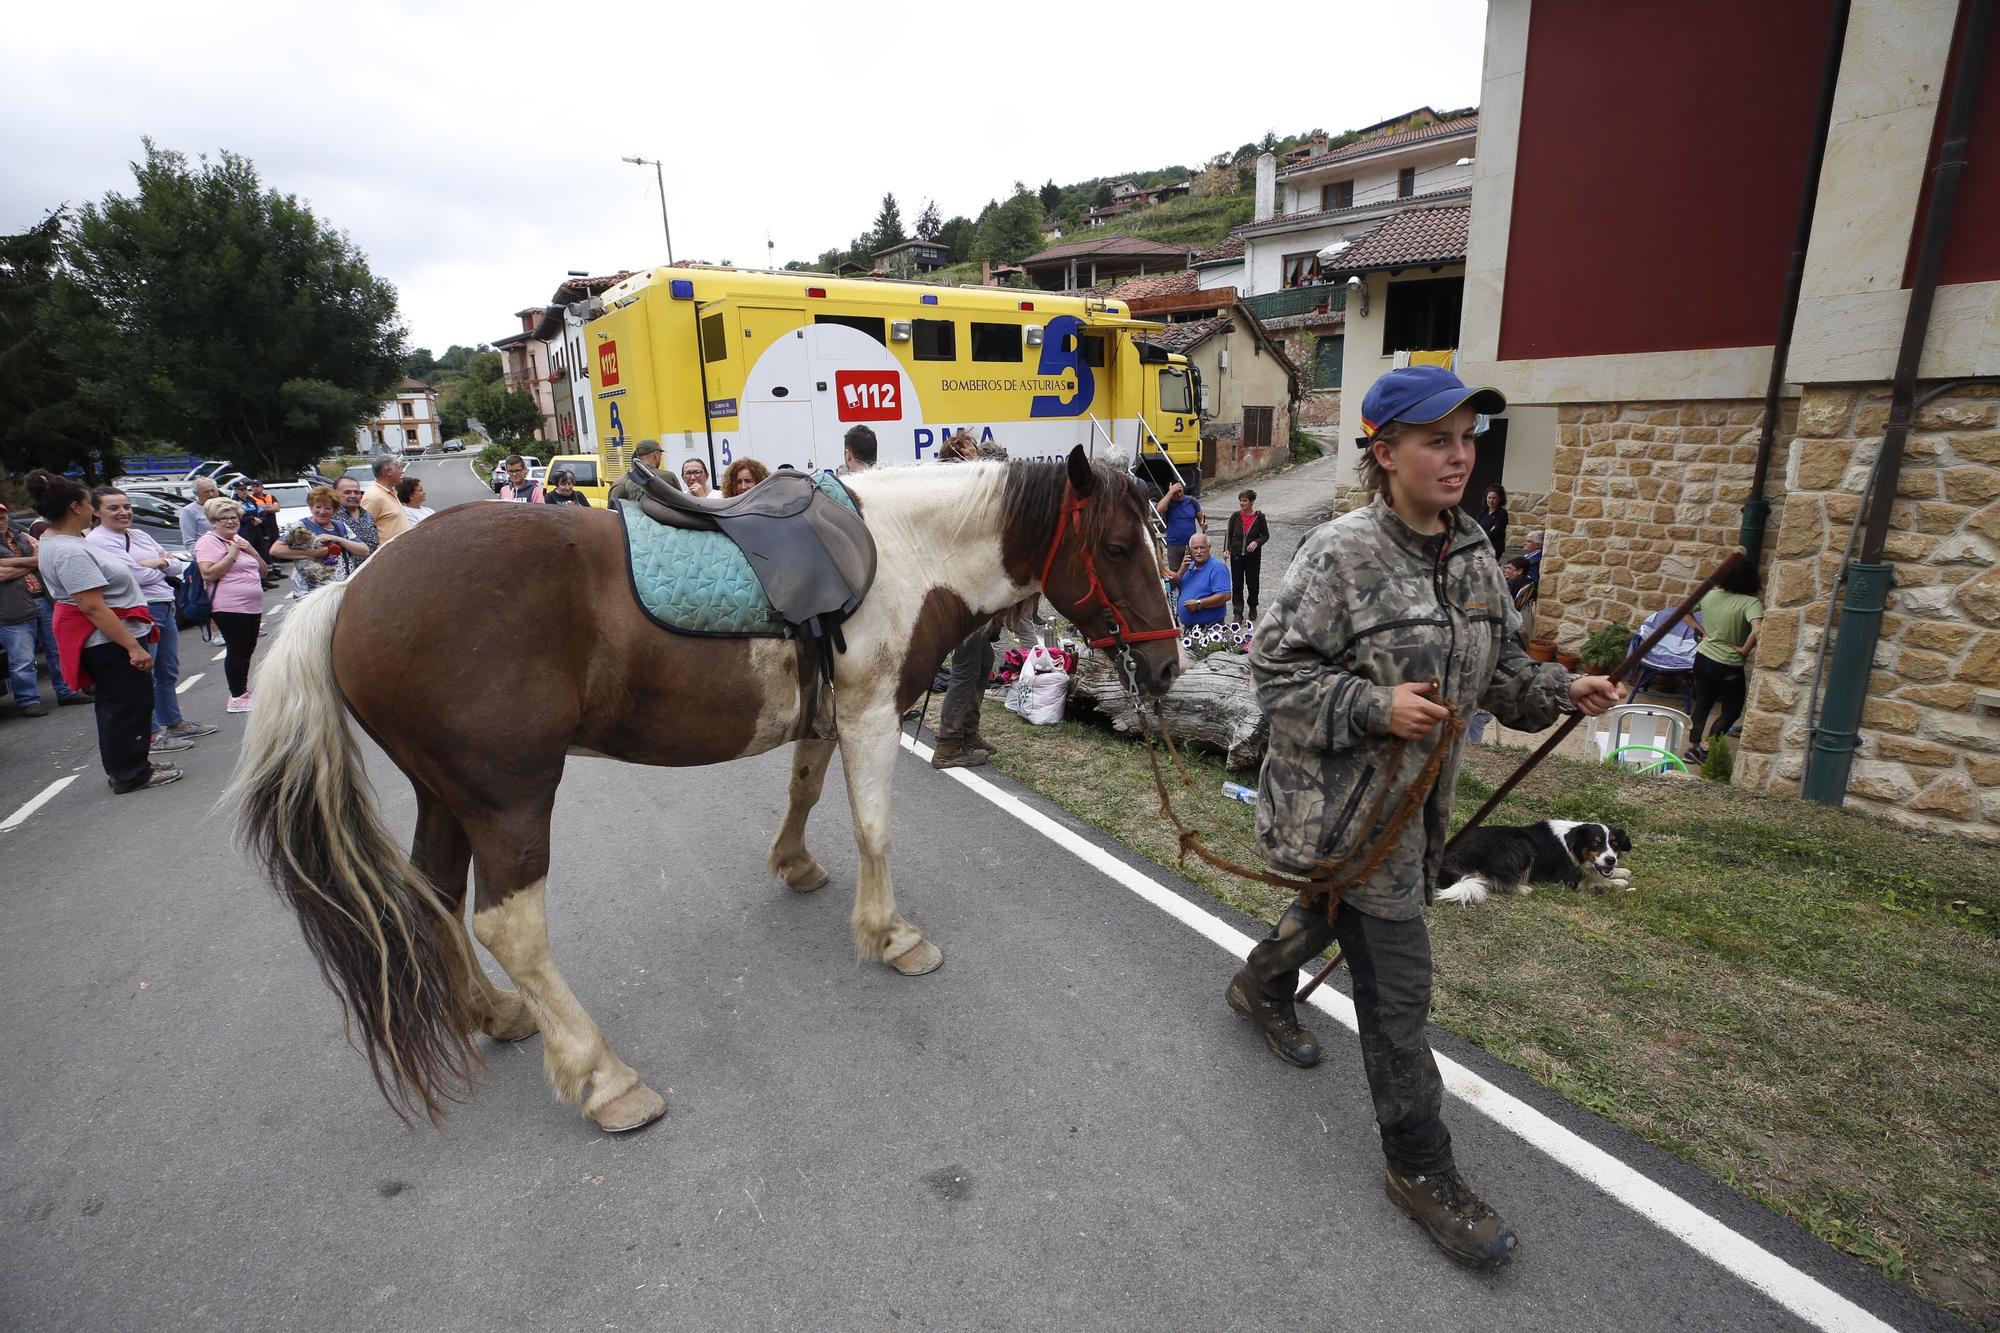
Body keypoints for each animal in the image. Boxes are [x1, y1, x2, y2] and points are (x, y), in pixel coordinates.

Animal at [230, 444, 1168, 1120]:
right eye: (1119, 547)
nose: (1164, 666)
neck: (904, 554)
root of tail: (351, 591)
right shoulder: (870, 716)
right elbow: (875, 828)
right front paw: (891, 934)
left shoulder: (827, 715)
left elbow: (804, 793)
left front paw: (795, 865)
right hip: (509, 797)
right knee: (509, 926)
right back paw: (603, 1077)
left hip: (445, 794)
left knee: (430, 894)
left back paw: (493, 1013)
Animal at [1448, 820, 1632, 904]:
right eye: (1594, 842)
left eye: (1615, 844)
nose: (1611, 860)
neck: (1572, 844)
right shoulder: (1569, 881)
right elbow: (1599, 881)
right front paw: (1621, 883)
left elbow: (1602, 874)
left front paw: (1623, 871)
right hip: (1523, 845)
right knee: (1490, 878)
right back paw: (1523, 888)